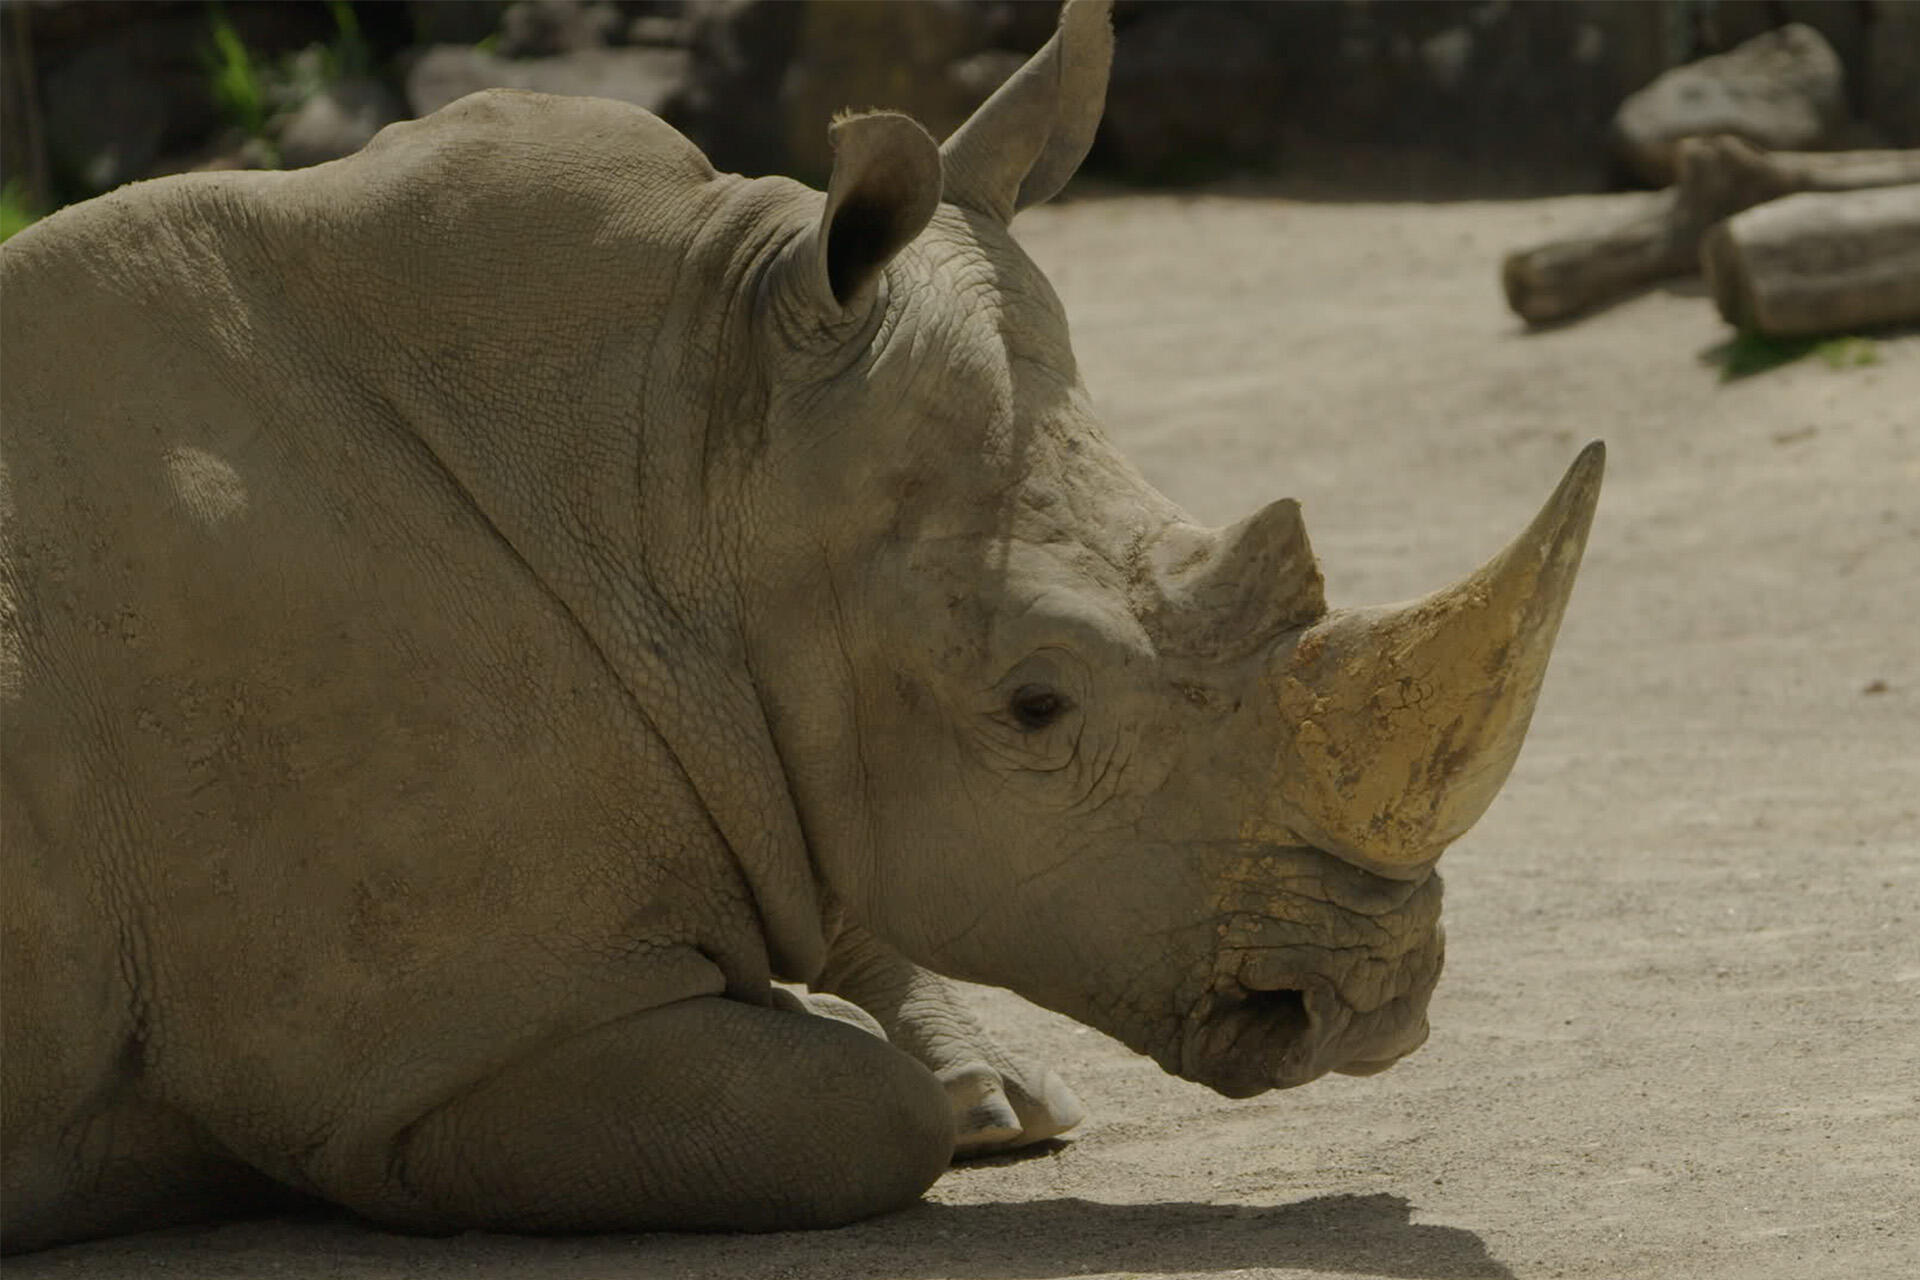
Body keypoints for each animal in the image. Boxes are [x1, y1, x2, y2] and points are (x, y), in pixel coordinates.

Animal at [0, 0, 1602, 1253]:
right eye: (1035, 706)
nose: (1380, 994)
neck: (681, 471)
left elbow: (842, 868)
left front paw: (997, 1092)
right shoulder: (421, 1066)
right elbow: (855, 1113)